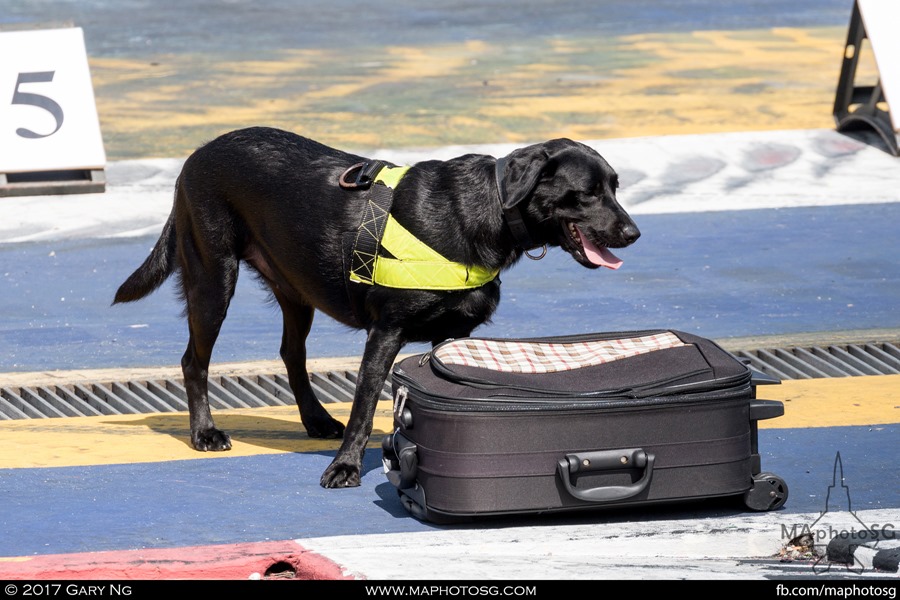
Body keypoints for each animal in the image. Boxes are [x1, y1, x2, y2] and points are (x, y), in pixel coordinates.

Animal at [114, 127, 640, 488]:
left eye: (616, 186)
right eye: (588, 193)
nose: (633, 233)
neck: (484, 209)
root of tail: (196, 154)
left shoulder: (452, 336)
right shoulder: (385, 333)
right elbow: (365, 405)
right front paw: (346, 467)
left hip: (295, 290)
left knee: (291, 354)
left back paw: (316, 420)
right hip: (213, 277)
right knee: (194, 360)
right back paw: (205, 432)